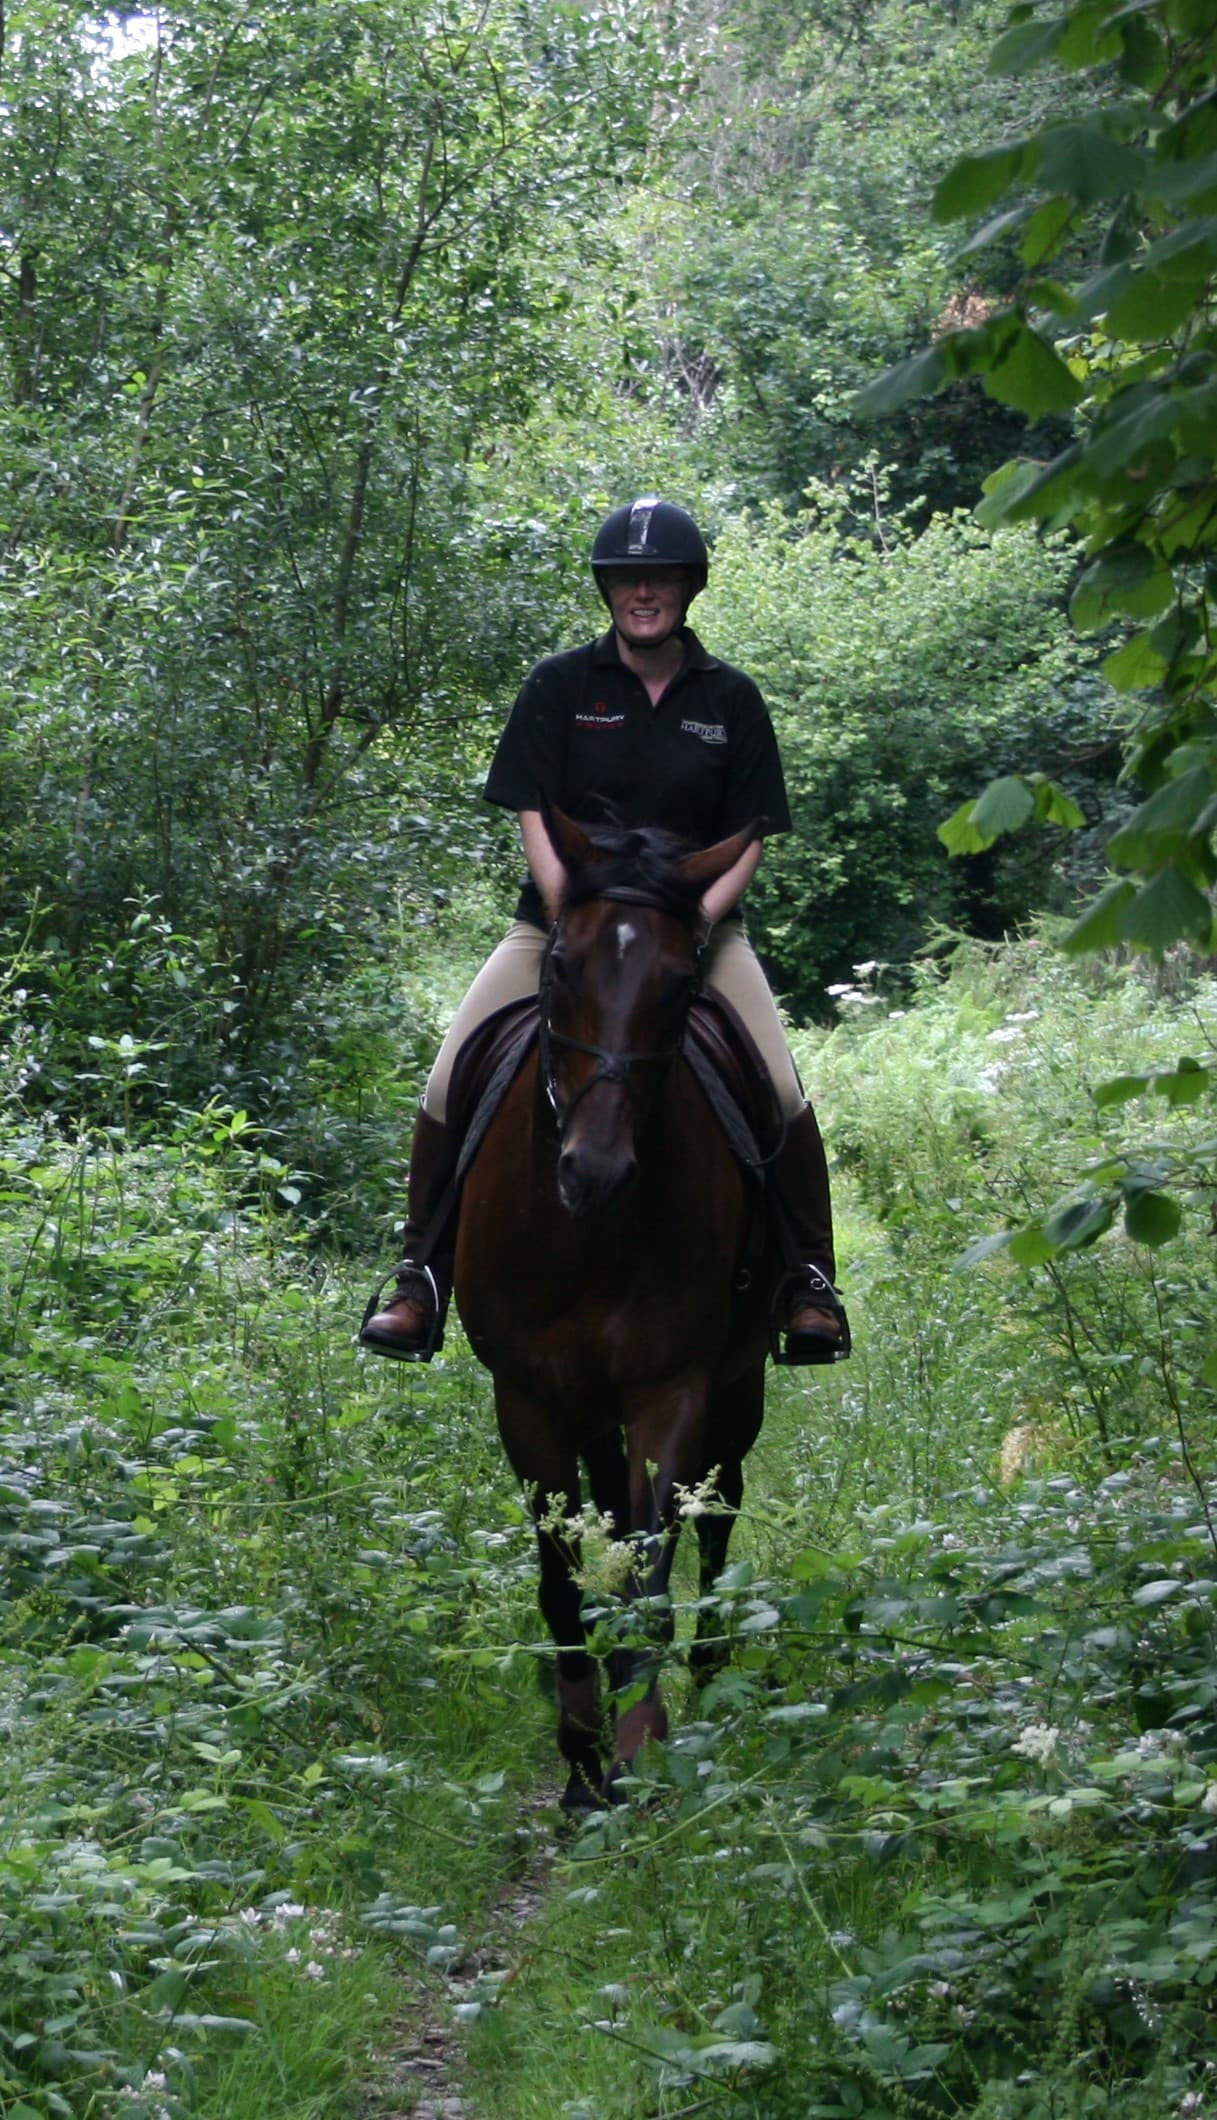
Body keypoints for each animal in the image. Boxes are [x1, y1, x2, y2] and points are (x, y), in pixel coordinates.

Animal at [453, 805, 782, 1809]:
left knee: (718, 1511)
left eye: (678, 984)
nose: (593, 1172)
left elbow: (649, 1575)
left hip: (736, 1387)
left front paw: (641, 1751)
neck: (589, 1234)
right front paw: (581, 1765)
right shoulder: (524, 1395)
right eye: (562, 965)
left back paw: (710, 1674)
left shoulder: (671, 1389)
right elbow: (561, 1581)